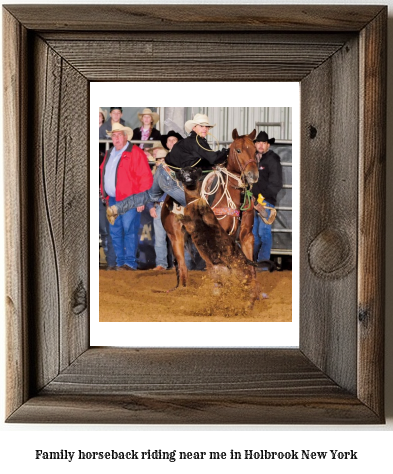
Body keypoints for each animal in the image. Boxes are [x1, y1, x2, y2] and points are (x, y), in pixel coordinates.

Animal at [160, 128, 258, 286]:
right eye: (238, 150)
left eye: (255, 151)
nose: (253, 175)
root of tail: (167, 201)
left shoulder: (247, 235)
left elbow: (251, 270)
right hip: (175, 237)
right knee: (183, 268)